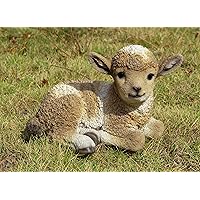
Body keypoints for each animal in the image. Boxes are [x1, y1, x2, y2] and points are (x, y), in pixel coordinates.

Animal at [22, 44, 184, 155]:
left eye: (151, 76)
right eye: (120, 74)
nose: (137, 89)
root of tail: (39, 115)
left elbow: (159, 127)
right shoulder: (114, 124)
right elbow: (138, 139)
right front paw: (101, 135)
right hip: (68, 108)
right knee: (58, 134)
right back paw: (87, 142)